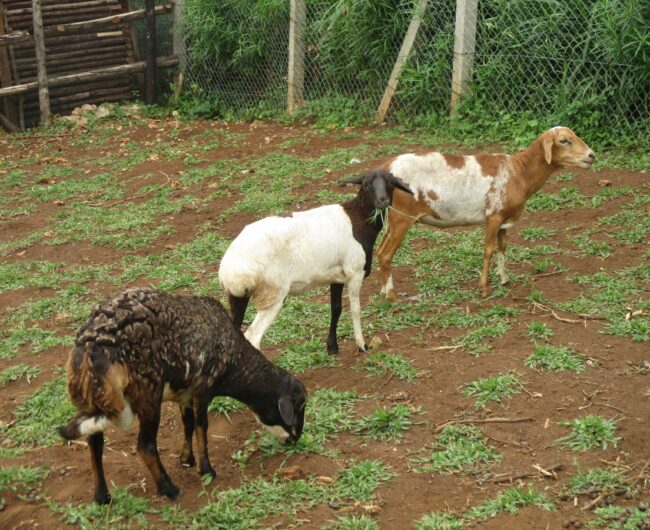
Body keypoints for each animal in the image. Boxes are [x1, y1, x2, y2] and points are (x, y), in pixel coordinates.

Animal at [58, 288, 307, 504]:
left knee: (94, 442)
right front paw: (206, 470)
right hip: (148, 395)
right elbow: (201, 427)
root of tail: (91, 347)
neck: (233, 360)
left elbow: (187, 423)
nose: (295, 440)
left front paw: (187, 459)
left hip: (93, 400)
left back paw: (102, 496)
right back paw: (168, 489)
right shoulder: (203, 387)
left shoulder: (184, 393)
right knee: (145, 446)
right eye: (298, 407)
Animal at [219, 168, 414, 354]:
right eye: (365, 184)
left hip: (238, 295)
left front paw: (332, 347)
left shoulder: (336, 276)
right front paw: (361, 345)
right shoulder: (355, 272)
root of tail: (229, 268)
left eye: (390, 183)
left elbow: (336, 308)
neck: (358, 219)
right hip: (272, 293)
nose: (383, 201)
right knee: (253, 336)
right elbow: (355, 310)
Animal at [375, 126, 595, 299]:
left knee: (379, 250)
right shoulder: (493, 215)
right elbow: (488, 249)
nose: (591, 155)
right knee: (385, 254)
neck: (519, 171)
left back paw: (383, 290)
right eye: (564, 140)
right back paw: (392, 296)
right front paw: (484, 288)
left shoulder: (505, 218)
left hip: (392, 216)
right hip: (403, 216)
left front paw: (504, 278)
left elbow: (503, 246)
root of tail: (385, 167)